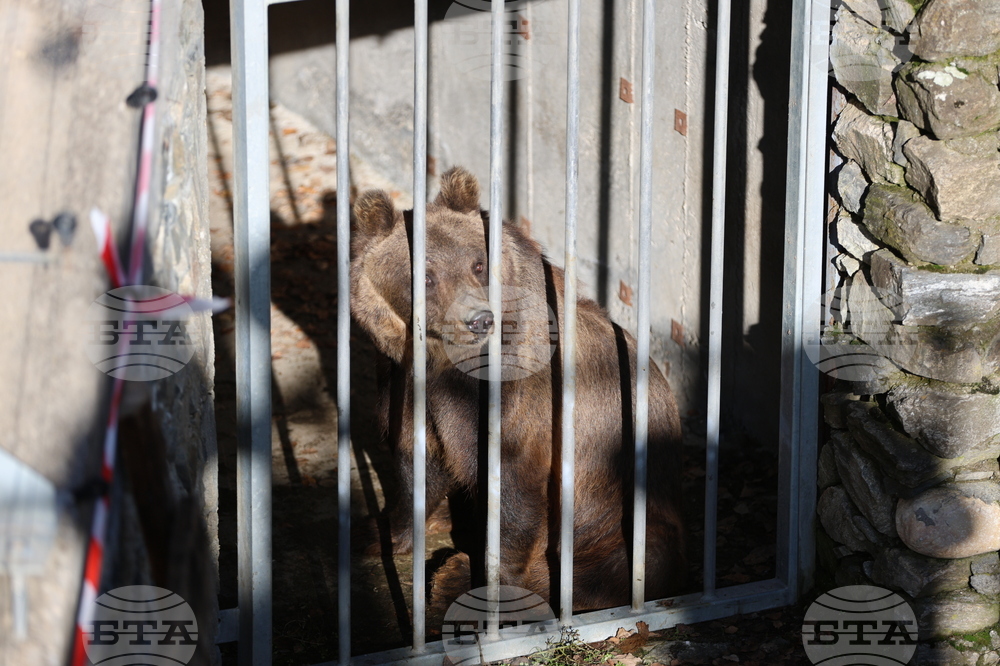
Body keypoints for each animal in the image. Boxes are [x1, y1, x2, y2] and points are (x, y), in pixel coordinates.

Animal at [350, 166, 685, 611]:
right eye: (426, 275)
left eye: (477, 264)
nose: (479, 320)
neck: (446, 364)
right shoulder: (404, 382)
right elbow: (414, 460)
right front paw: (381, 532)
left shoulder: (522, 400)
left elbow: (513, 487)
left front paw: (482, 583)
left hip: (621, 508)